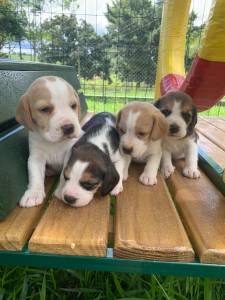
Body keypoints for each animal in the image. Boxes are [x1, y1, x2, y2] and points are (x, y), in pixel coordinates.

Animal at [16, 75, 82, 206]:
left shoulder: (69, 154)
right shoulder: (36, 158)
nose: (69, 127)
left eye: (73, 105)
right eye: (45, 109)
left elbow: (63, 175)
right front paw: (33, 193)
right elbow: (35, 175)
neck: (54, 143)